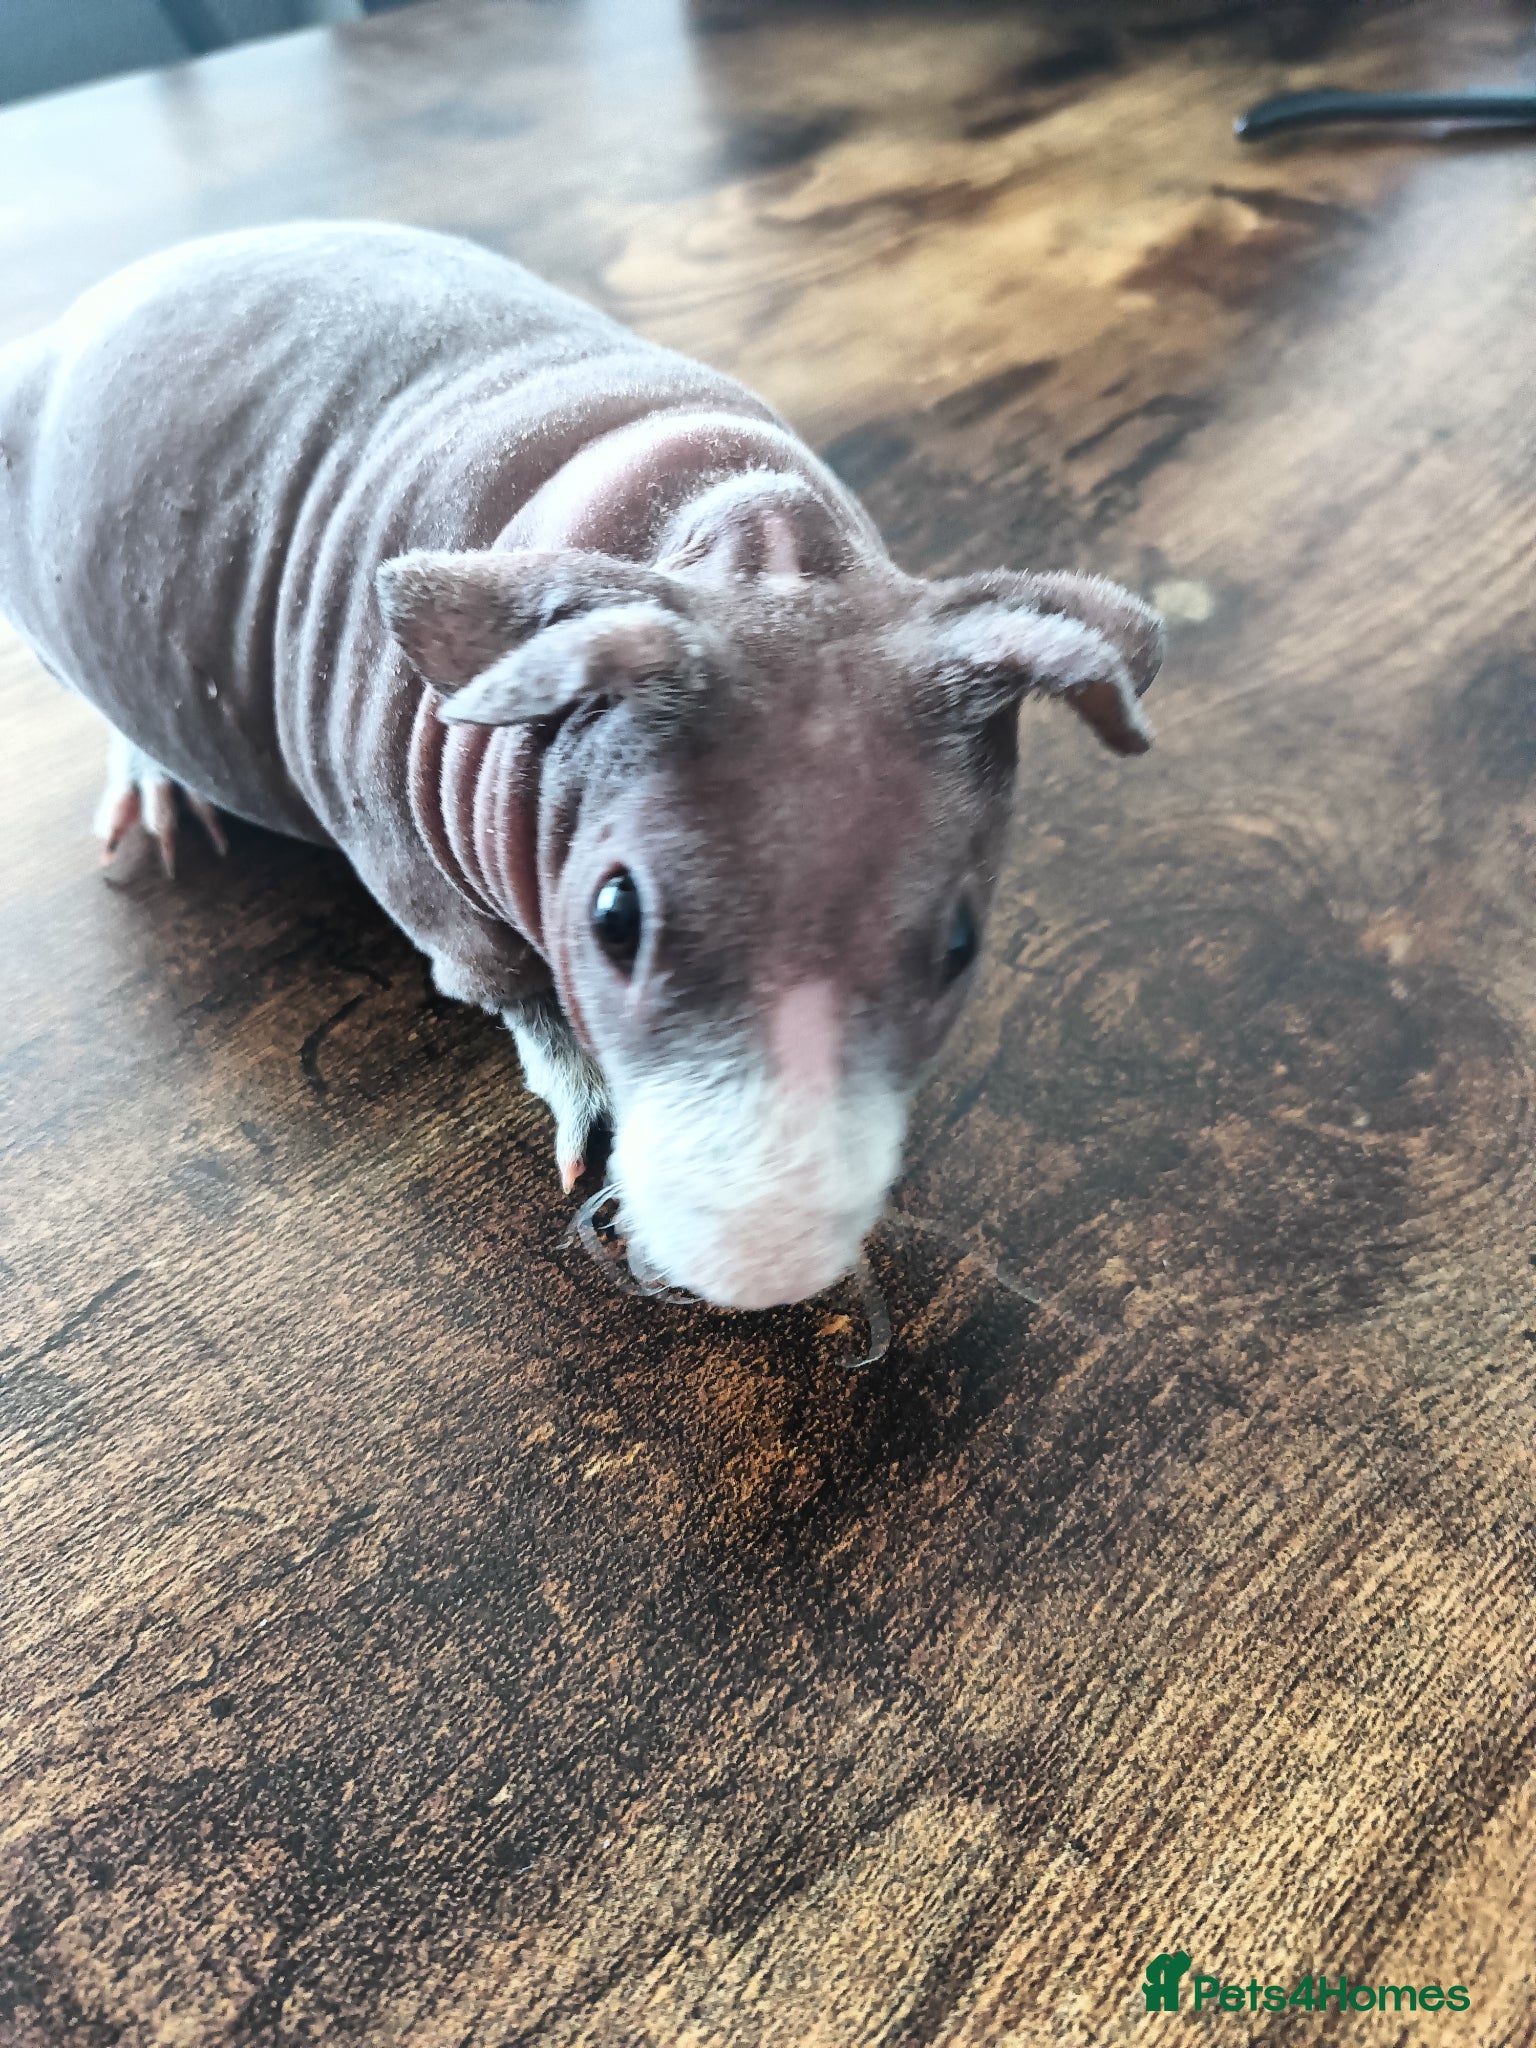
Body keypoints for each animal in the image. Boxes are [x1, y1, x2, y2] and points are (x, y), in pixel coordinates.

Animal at [0, 223, 1161, 1310]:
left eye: (962, 946)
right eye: (614, 916)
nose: (765, 1267)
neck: (745, 544)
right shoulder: (401, 849)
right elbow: (493, 973)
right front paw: (589, 1112)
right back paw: (155, 792)